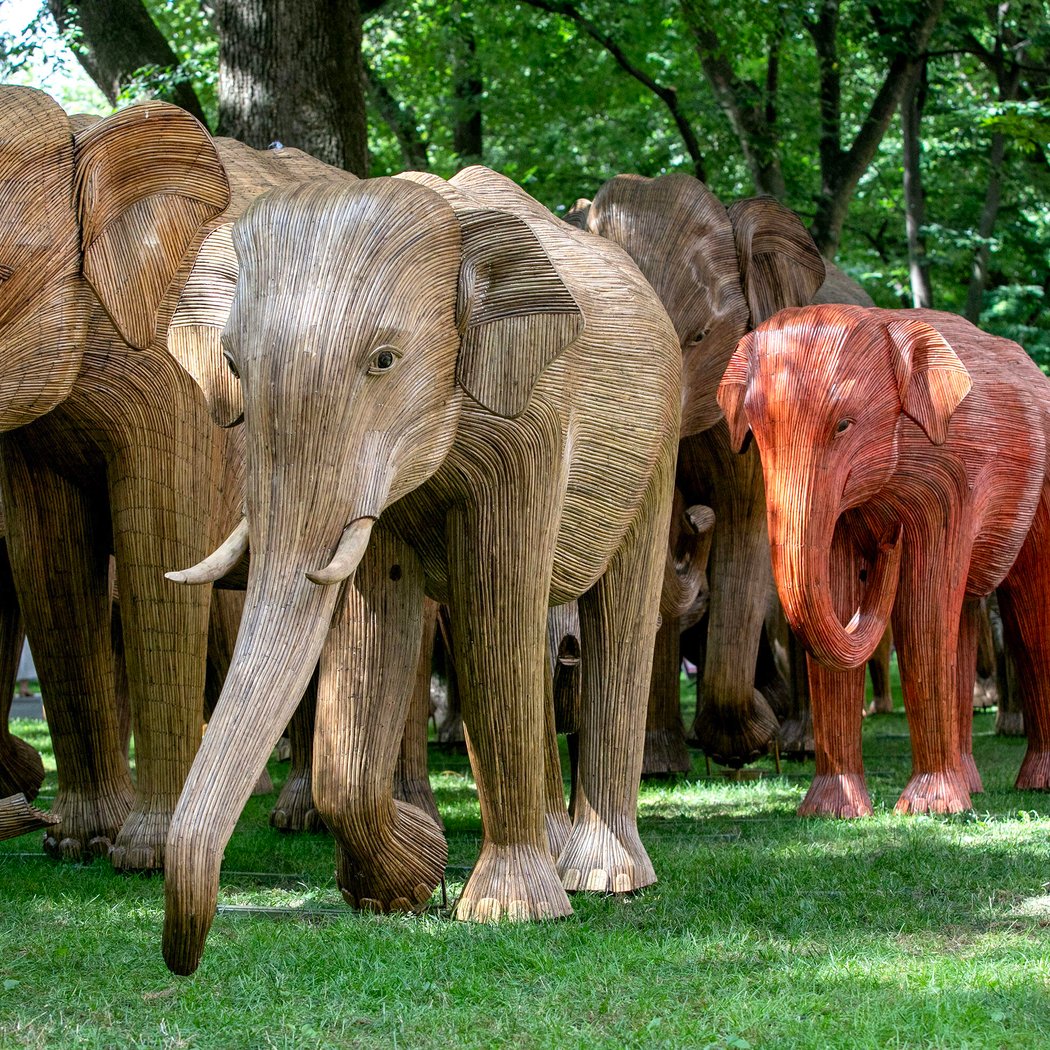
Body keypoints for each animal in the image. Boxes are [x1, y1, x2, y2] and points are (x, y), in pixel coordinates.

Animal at [0, 86, 352, 868]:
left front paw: (142, 857)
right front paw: (74, 845)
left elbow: (158, 555)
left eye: (1, 276)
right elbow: (47, 575)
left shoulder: (180, 376)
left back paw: (307, 820)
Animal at [160, 165, 681, 975]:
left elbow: (492, 608)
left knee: (618, 609)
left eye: (384, 360)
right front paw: (402, 886)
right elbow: (374, 621)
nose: (182, 964)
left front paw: (507, 912)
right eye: (235, 366)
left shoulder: (531, 419)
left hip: (660, 435)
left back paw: (607, 878)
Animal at [718, 303, 1050, 814]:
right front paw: (832, 812)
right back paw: (972, 786)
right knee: (965, 616)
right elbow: (838, 596)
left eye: (844, 424)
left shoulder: (949, 476)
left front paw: (931, 809)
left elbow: (921, 612)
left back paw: (1031, 785)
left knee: (1029, 617)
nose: (888, 544)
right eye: (756, 433)